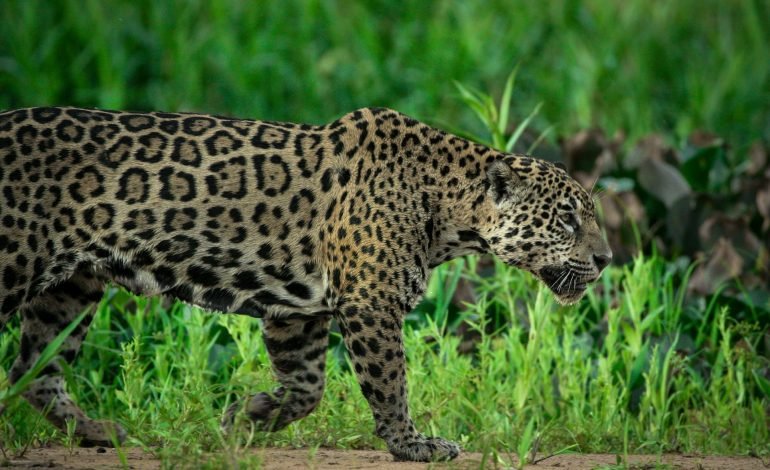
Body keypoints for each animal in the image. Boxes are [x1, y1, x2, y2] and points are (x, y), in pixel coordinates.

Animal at [0, 106, 611, 461]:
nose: (606, 259)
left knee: (35, 368)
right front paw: (412, 445)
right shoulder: (370, 301)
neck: (448, 210)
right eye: (567, 220)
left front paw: (244, 419)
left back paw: (98, 434)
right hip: (15, 261)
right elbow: (390, 382)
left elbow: (306, 388)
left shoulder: (299, 312)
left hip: (71, 288)